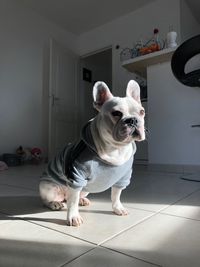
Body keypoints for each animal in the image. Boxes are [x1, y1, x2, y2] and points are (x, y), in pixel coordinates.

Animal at [39, 80, 145, 227]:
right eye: (116, 113)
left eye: (142, 112)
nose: (133, 120)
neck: (115, 149)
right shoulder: (76, 177)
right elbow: (72, 203)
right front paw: (73, 217)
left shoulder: (122, 178)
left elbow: (116, 195)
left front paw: (118, 208)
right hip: (48, 187)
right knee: (53, 200)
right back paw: (54, 204)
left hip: (86, 189)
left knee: (73, 197)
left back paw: (82, 200)